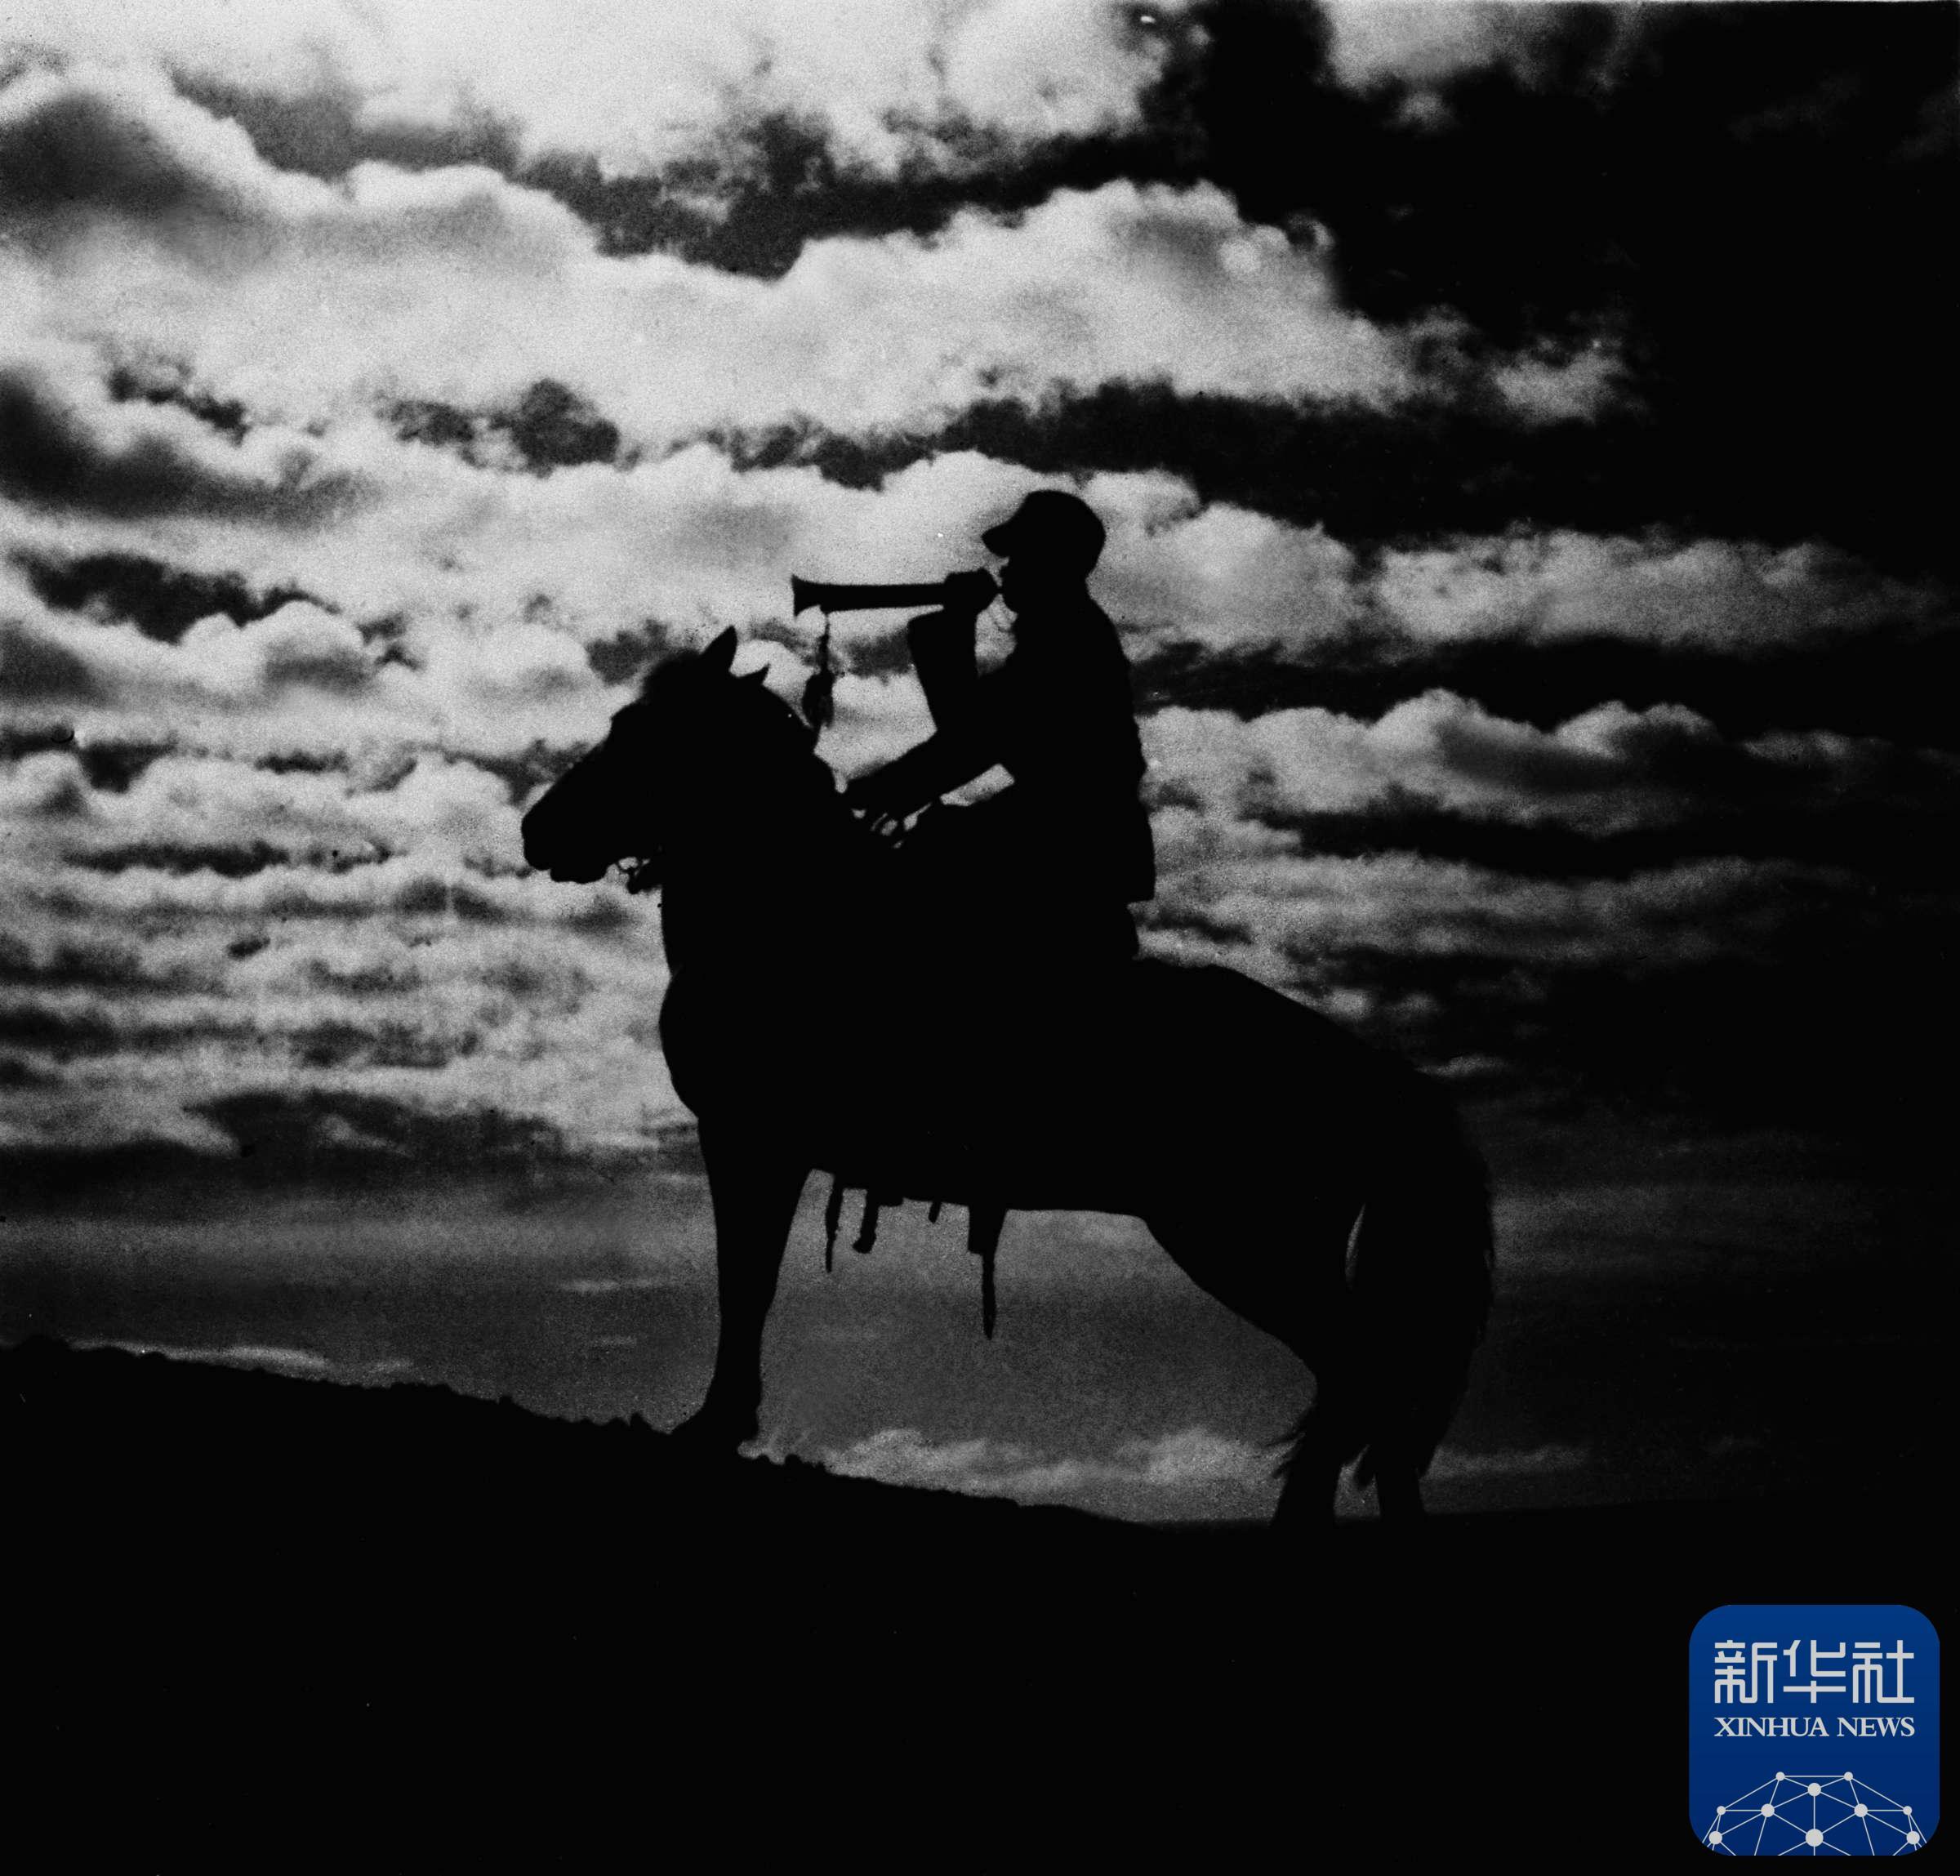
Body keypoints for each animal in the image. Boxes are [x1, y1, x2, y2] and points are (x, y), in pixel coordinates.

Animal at [521, 627, 1494, 1528]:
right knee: (1366, 1384)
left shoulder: (752, 1139)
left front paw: (715, 1424)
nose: (538, 830)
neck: (796, 917)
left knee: (1361, 1371)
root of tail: (1382, 1077)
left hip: (1247, 1242)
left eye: (641, 732)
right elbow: (746, 1278)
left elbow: (744, 1279)